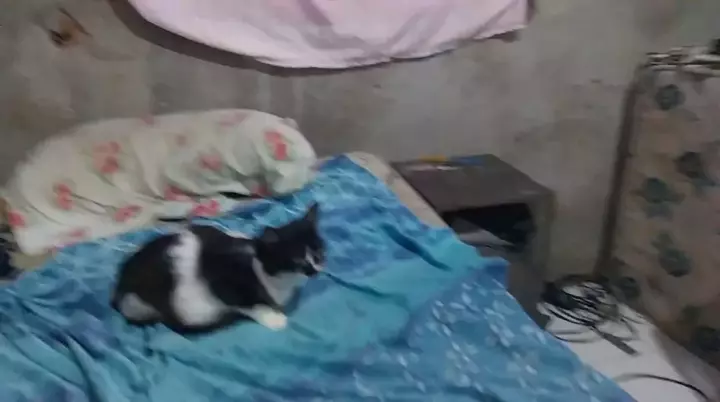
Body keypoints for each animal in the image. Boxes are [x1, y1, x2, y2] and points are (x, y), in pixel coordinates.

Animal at [111, 204, 324, 334]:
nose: (315, 270)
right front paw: (274, 318)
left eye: (319, 252)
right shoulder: (221, 278)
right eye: (297, 260)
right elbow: (248, 303)